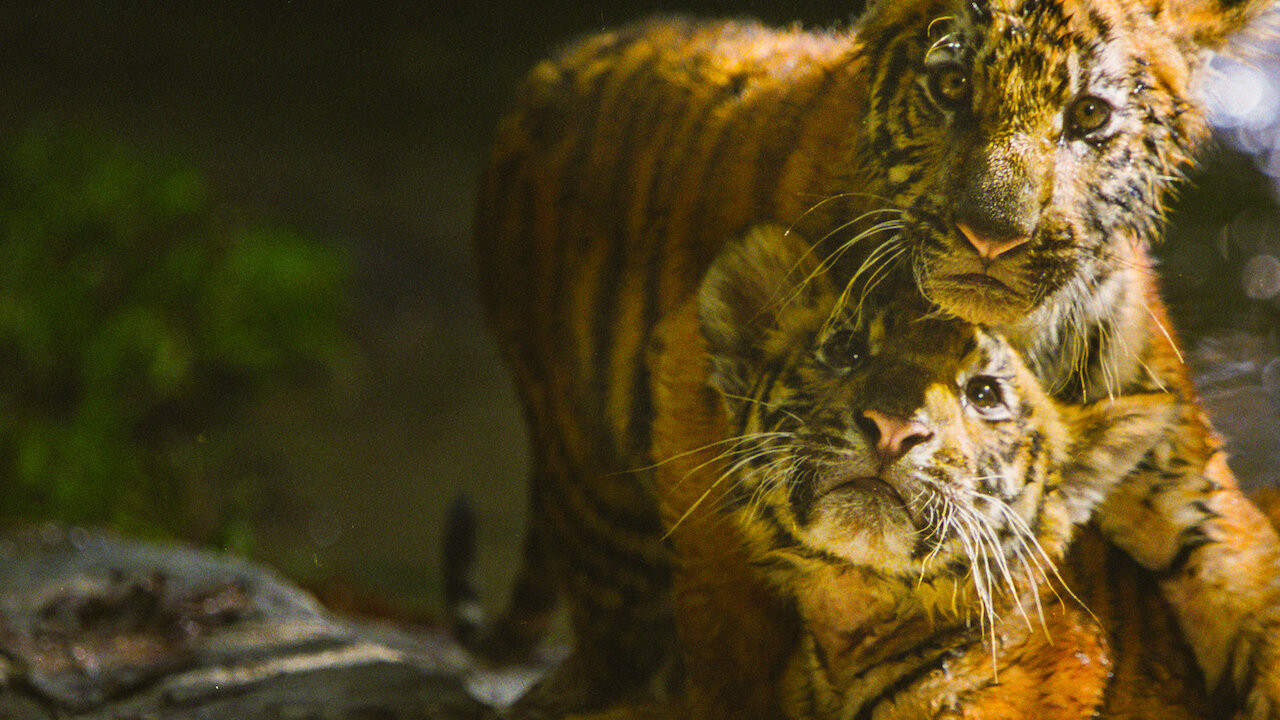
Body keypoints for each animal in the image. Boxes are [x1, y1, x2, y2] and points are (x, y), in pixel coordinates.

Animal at [462, 0, 1280, 717]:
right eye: (951, 86)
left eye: (1087, 115)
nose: (992, 235)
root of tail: (570, 56)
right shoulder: (695, 404)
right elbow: (725, 620)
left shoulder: (1184, 483)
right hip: (594, 494)